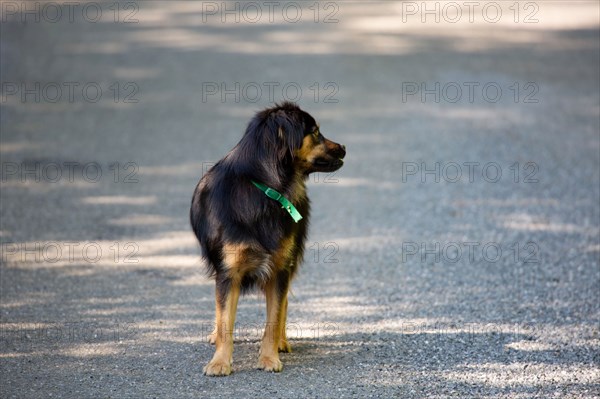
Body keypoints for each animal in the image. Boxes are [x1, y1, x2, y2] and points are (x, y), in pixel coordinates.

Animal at [190, 101, 344, 376]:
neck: (264, 188)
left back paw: (282, 342)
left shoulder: (279, 268)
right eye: (315, 131)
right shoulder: (228, 272)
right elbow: (225, 319)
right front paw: (219, 361)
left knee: (284, 305)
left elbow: (274, 316)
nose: (344, 149)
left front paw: (269, 357)